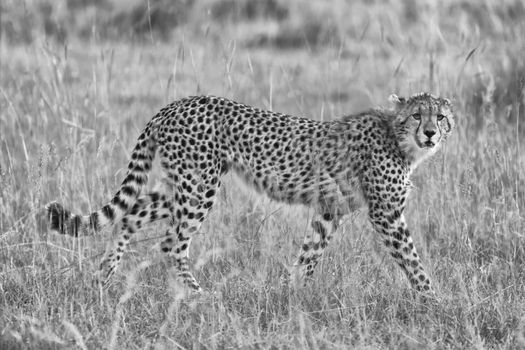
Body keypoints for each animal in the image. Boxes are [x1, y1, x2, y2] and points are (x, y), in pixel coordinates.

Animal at [46, 92, 454, 292]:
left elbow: (308, 255)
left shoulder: (328, 209)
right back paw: (197, 294)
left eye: (440, 116)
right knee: (171, 242)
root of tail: (175, 104)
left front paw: (290, 297)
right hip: (199, 187)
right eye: (417, 115)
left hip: (181, 185)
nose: (431, 132)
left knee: (131, 214)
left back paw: (104, 276)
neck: (399, 140)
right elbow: (413, 261)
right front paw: (433, 300)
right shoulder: (386, 214)